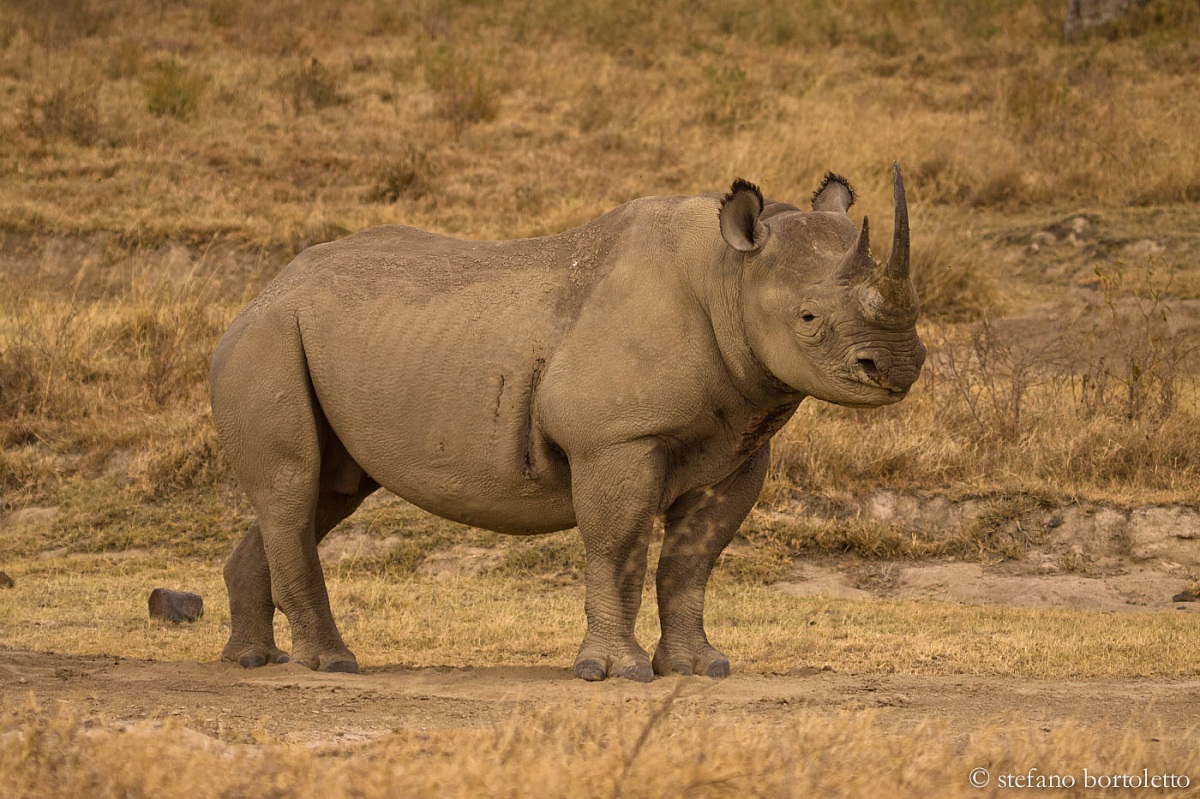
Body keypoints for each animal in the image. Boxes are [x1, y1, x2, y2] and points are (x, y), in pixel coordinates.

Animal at [209, 163, 925, 681]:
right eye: (808, 318)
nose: (899, 366)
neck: (730, 275)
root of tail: (258, 294)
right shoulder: (616, 439)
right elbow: (619, 549)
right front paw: (613, 673)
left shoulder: (738, 447)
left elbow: (693, 561)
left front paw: (700, 668)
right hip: (268, 338)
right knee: (293, 488)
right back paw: (330, 665)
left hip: (308, 337)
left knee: (323, 492)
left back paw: (253, 661)